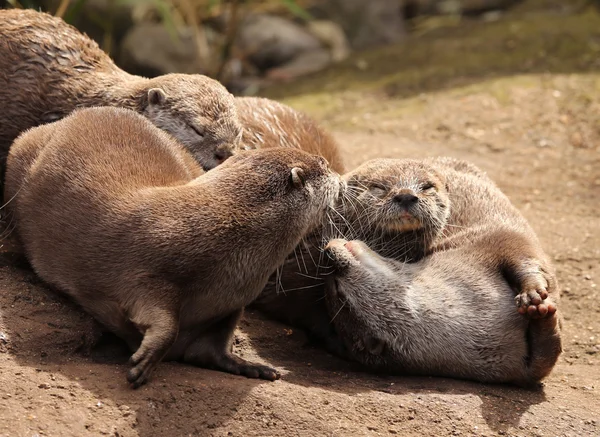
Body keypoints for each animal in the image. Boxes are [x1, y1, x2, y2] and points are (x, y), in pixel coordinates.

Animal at [5, 107, 342, 386]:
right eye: (325, 164)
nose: (340, 177)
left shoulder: (232, 304)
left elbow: (214, 347)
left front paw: (248, 365)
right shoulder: (146, 271)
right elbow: (163, 321)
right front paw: (146, 359)